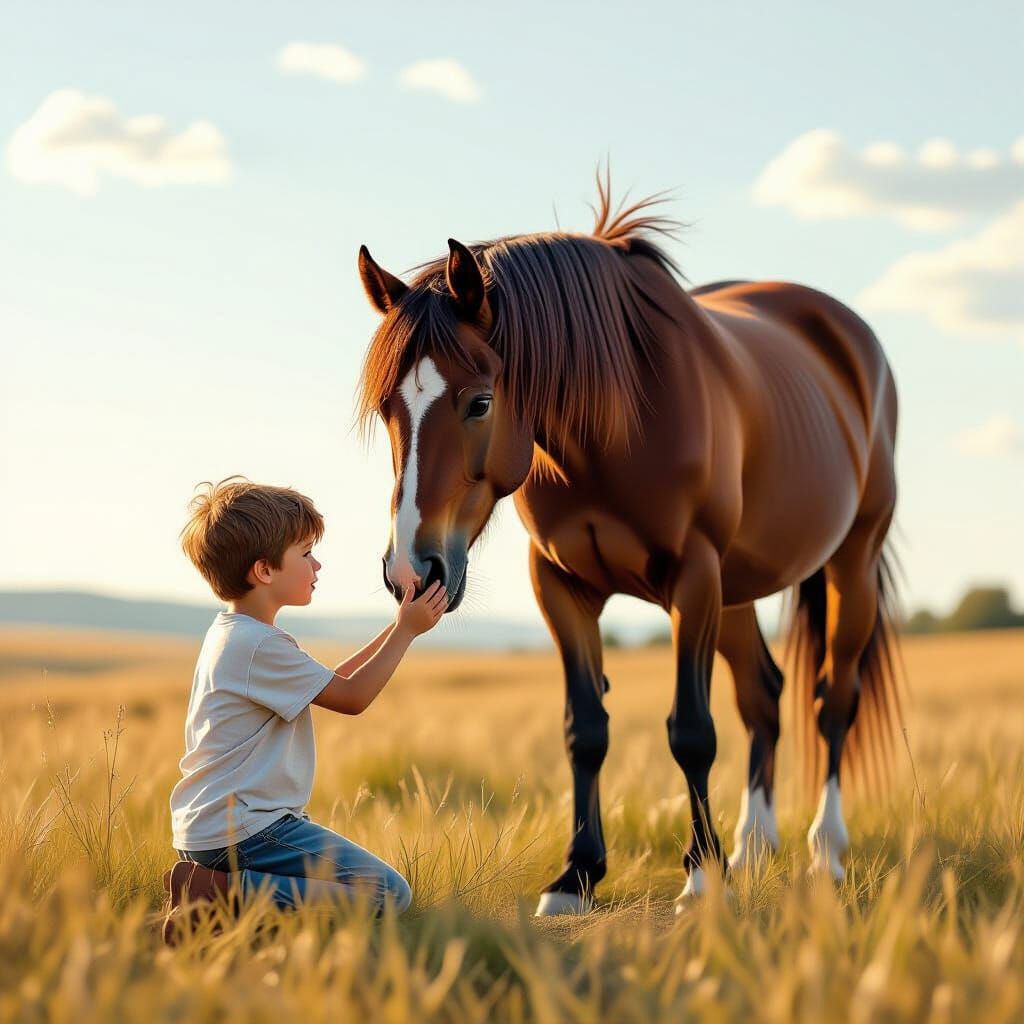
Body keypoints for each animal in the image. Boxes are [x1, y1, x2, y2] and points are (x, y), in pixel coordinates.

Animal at [355, 177, 903, 915]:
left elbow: (692, 732)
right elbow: (585, 730)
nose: (413, 570)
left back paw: (826, 854)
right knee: (763, 696)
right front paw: (576, 876)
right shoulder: (561, 586)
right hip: (738, 590)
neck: (617, 424)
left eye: (479, 402)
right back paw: (754, 849)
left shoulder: (694, 579)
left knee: (832, 700)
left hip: (851, 567)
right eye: (388, 408)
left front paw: (702, 876)